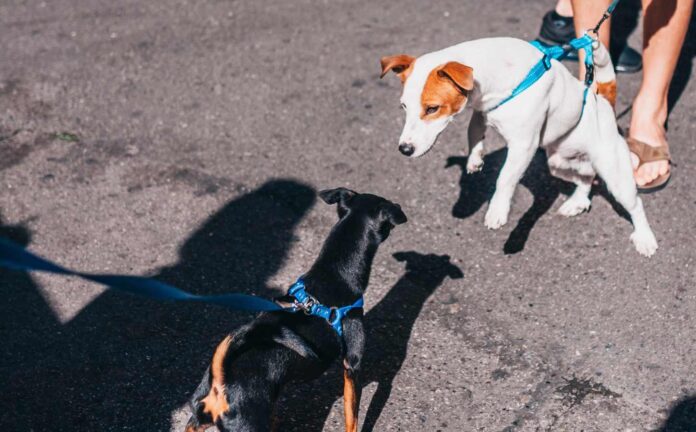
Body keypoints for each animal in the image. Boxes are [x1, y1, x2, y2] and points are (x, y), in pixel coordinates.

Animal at [185, 188, 408, 432]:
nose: (399, 205)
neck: (335, 274)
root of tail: (220, 384)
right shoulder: (352, 366)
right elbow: (352, 417)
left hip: (197, 421)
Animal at [380, 37, 656, 256]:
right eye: (403, 107)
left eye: (432, 108)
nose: (404, 149)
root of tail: (603, 102)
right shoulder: (481, 112)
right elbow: (473, 131)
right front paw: (474, 159)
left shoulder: (524, 145)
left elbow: (504, 178)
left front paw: (498, 212)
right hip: (558, 163)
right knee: (586, 178)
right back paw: (577, 202)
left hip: (615, 173)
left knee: (635, 205)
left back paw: (645, 238)